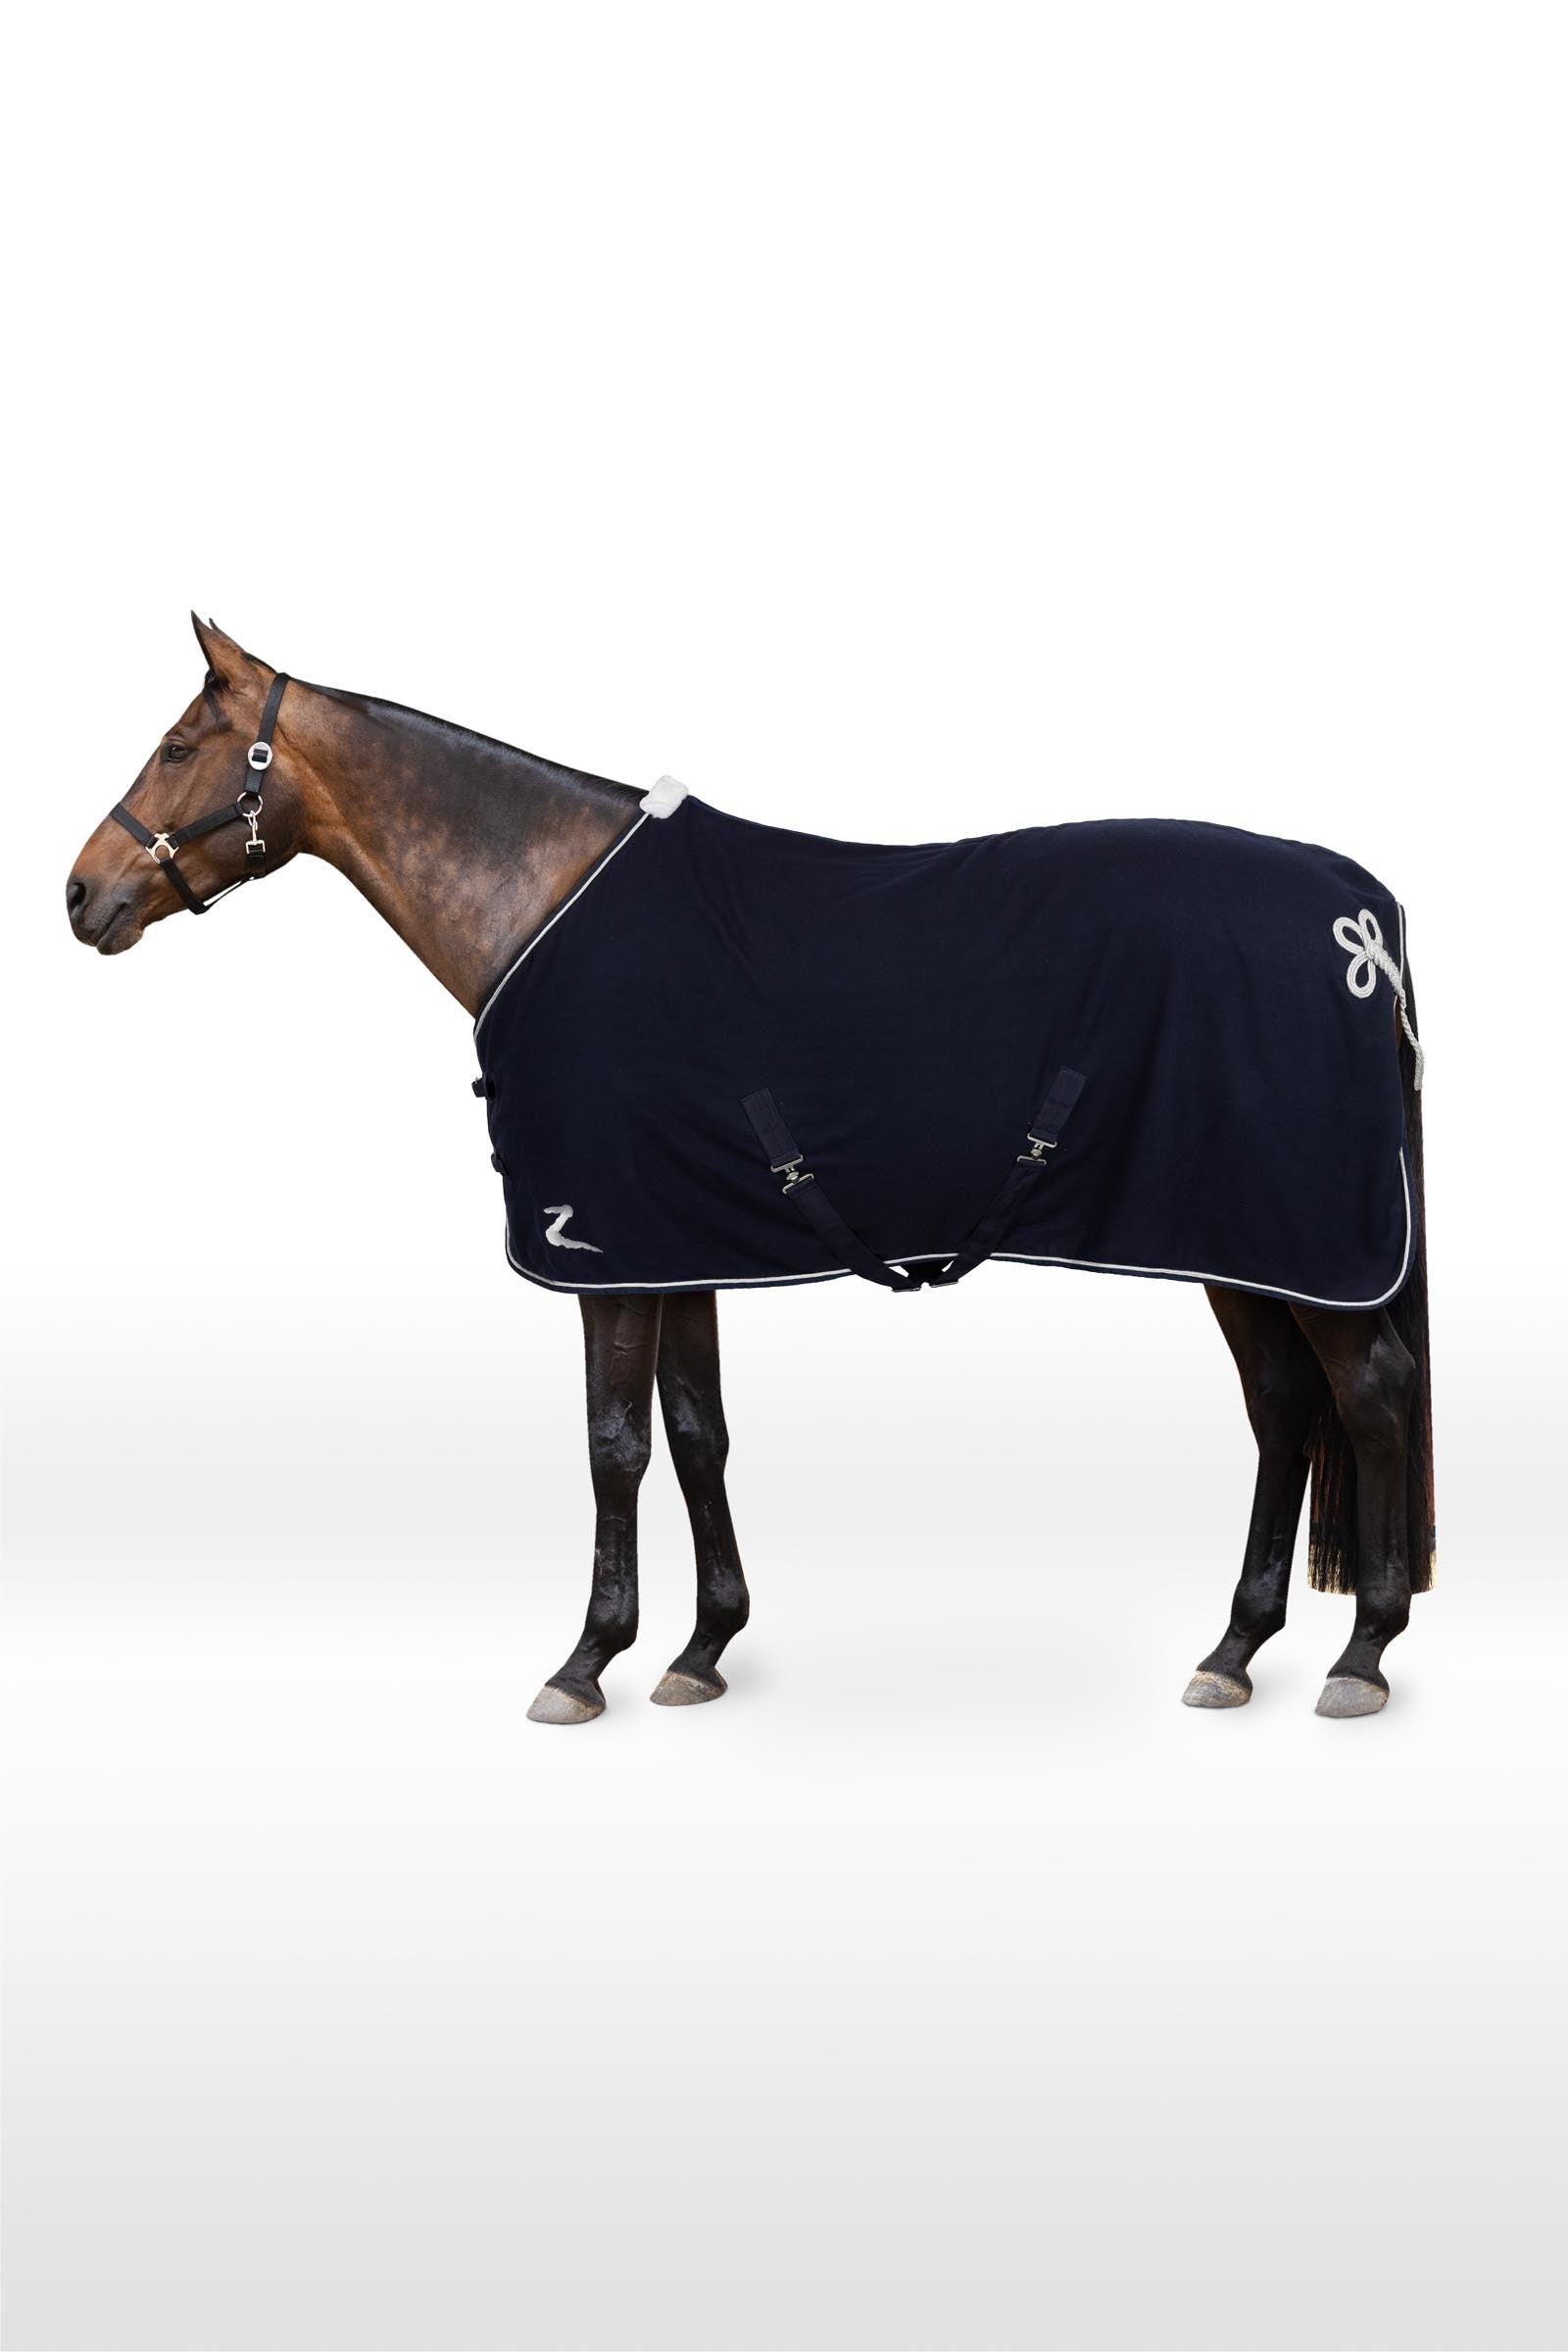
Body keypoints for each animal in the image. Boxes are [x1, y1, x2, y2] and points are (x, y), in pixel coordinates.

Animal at [66, 617, 1435, 1725]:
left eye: (180, 747)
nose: (81, 895)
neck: (544, 899)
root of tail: (1357, 913)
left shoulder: (606, 1250)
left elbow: (614, 1443)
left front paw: (586, 1663)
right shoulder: (679, 1241)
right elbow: (696, 1431)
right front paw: (701, 1648)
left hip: (1303, 1246)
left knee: (1367, 1396)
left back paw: (1361, 1654)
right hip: (1236, 1243)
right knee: (1283, 1407)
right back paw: (1235, 1649)